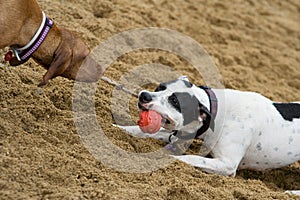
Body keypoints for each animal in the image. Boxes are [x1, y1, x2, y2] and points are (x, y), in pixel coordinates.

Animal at [117, 76, 300, 180]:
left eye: (174, 101)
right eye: (160, 87)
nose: (144, 95)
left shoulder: (227, 164)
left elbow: (190, 158)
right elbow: (137, 130)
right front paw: (115, 128)